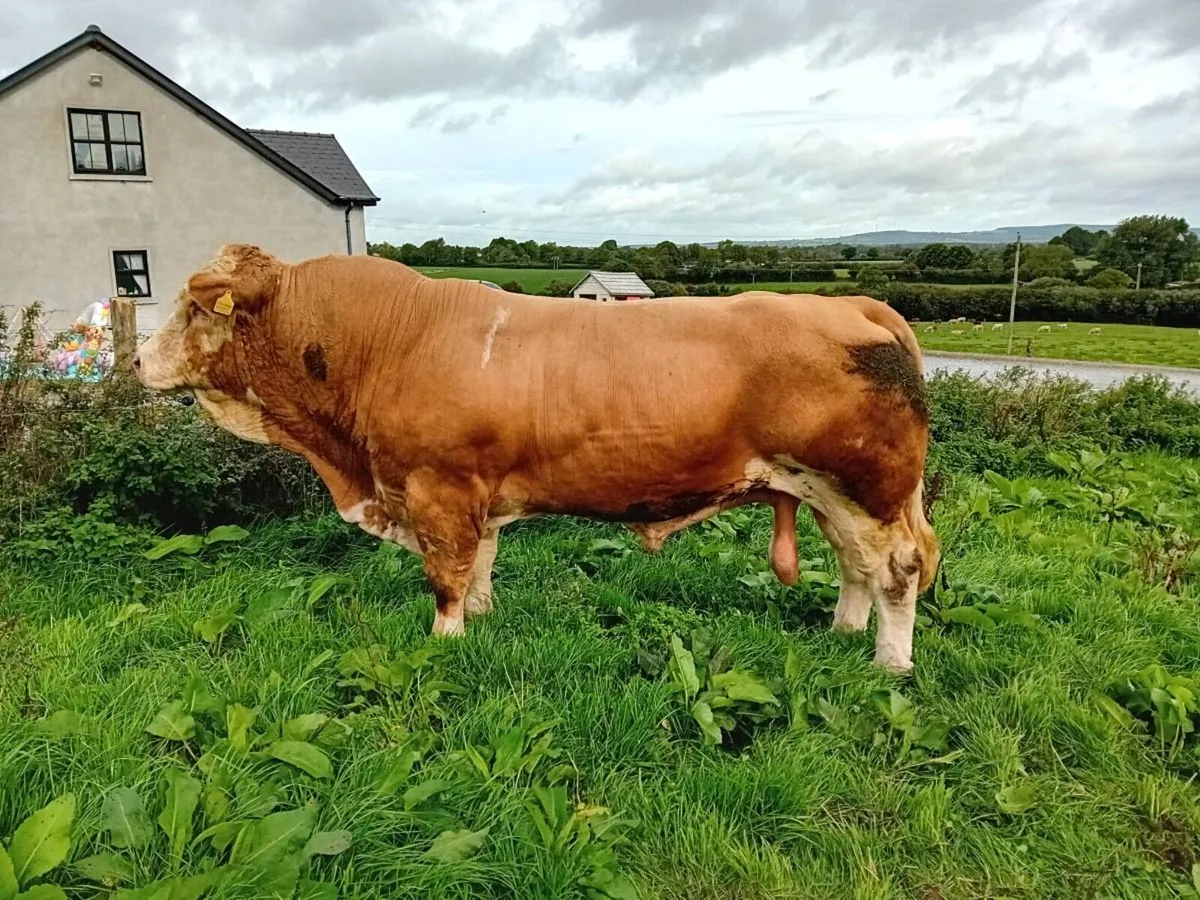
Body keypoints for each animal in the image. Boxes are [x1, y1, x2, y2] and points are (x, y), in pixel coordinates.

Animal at [134, 245, 939, 673]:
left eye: (195, 308)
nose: (137, 359)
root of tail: (854, 304)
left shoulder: (437, 488)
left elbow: (447, 576)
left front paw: (446, 641)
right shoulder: (475, 492)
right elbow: (481, 565)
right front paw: (483, 621)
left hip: (865, 488)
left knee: (897, 570)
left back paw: (890, 663)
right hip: (831, 493)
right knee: (856, 566)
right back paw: (841, 632)